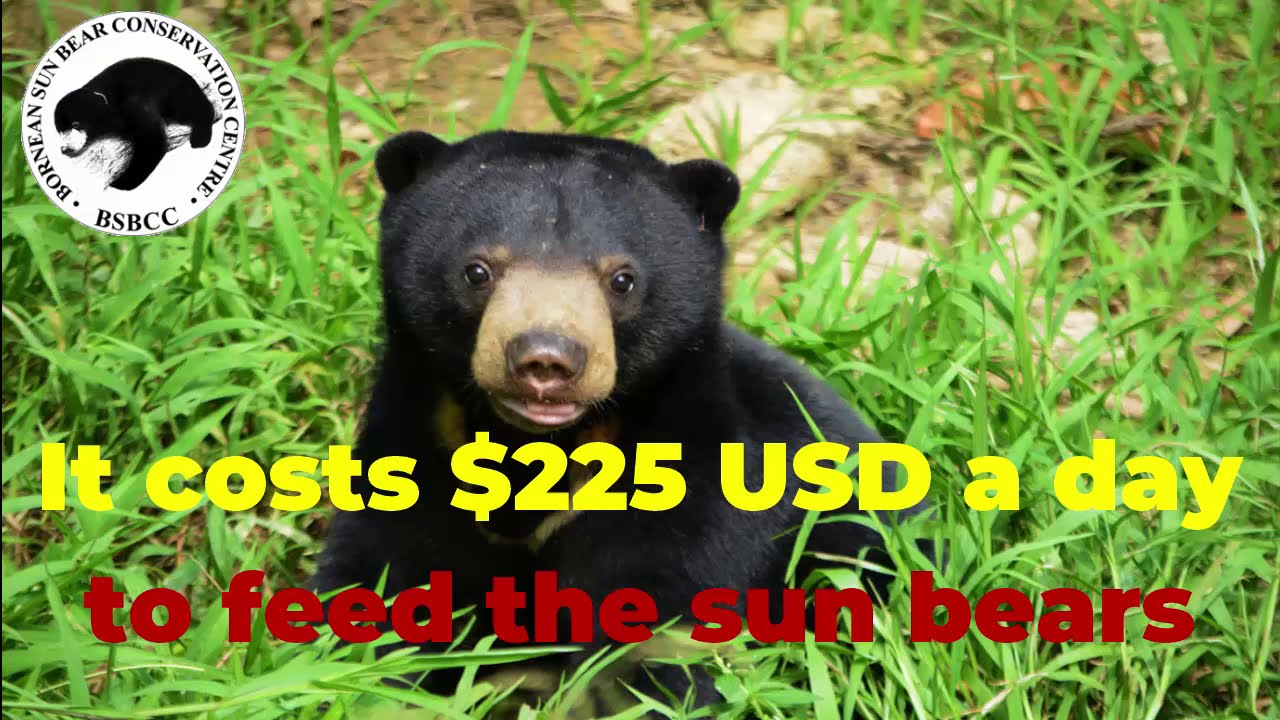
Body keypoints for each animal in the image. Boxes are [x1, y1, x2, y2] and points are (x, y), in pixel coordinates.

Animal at [54, 57, 218, 191]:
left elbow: (153, 140)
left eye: (76, 124)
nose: (65, 148)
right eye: (59, 130)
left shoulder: (134, 105)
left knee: (197, 108)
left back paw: (201, 137)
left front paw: (120, 184)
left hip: (178, 96)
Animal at [310, 130, 929, 717]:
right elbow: (382, 583)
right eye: (477, 271)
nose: (546, 359)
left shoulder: (689, 484)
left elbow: (654, 630)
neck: (534, 446)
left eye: (622, 279)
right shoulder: (417, 448)